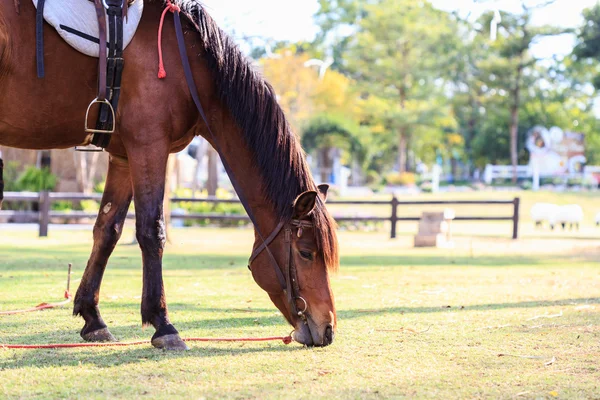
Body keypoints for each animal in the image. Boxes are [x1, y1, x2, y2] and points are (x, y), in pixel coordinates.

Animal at [0, 0, 338, 348]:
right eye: (306, 253)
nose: (327, 327)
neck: (191, 64)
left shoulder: (124, 156)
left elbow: (108, 230)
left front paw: (92, 317)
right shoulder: (149, 145)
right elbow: (151, 231)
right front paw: (162, 323)